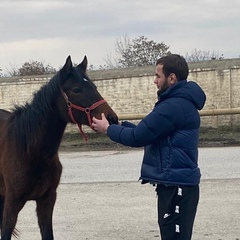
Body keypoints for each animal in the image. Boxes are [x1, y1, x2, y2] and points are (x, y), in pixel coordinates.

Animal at [0, 55, 117, 239]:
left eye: (94, 87)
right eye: (76, 90)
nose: (111, 119)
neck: (30, 151)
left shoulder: (47, 200)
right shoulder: (12, 203)